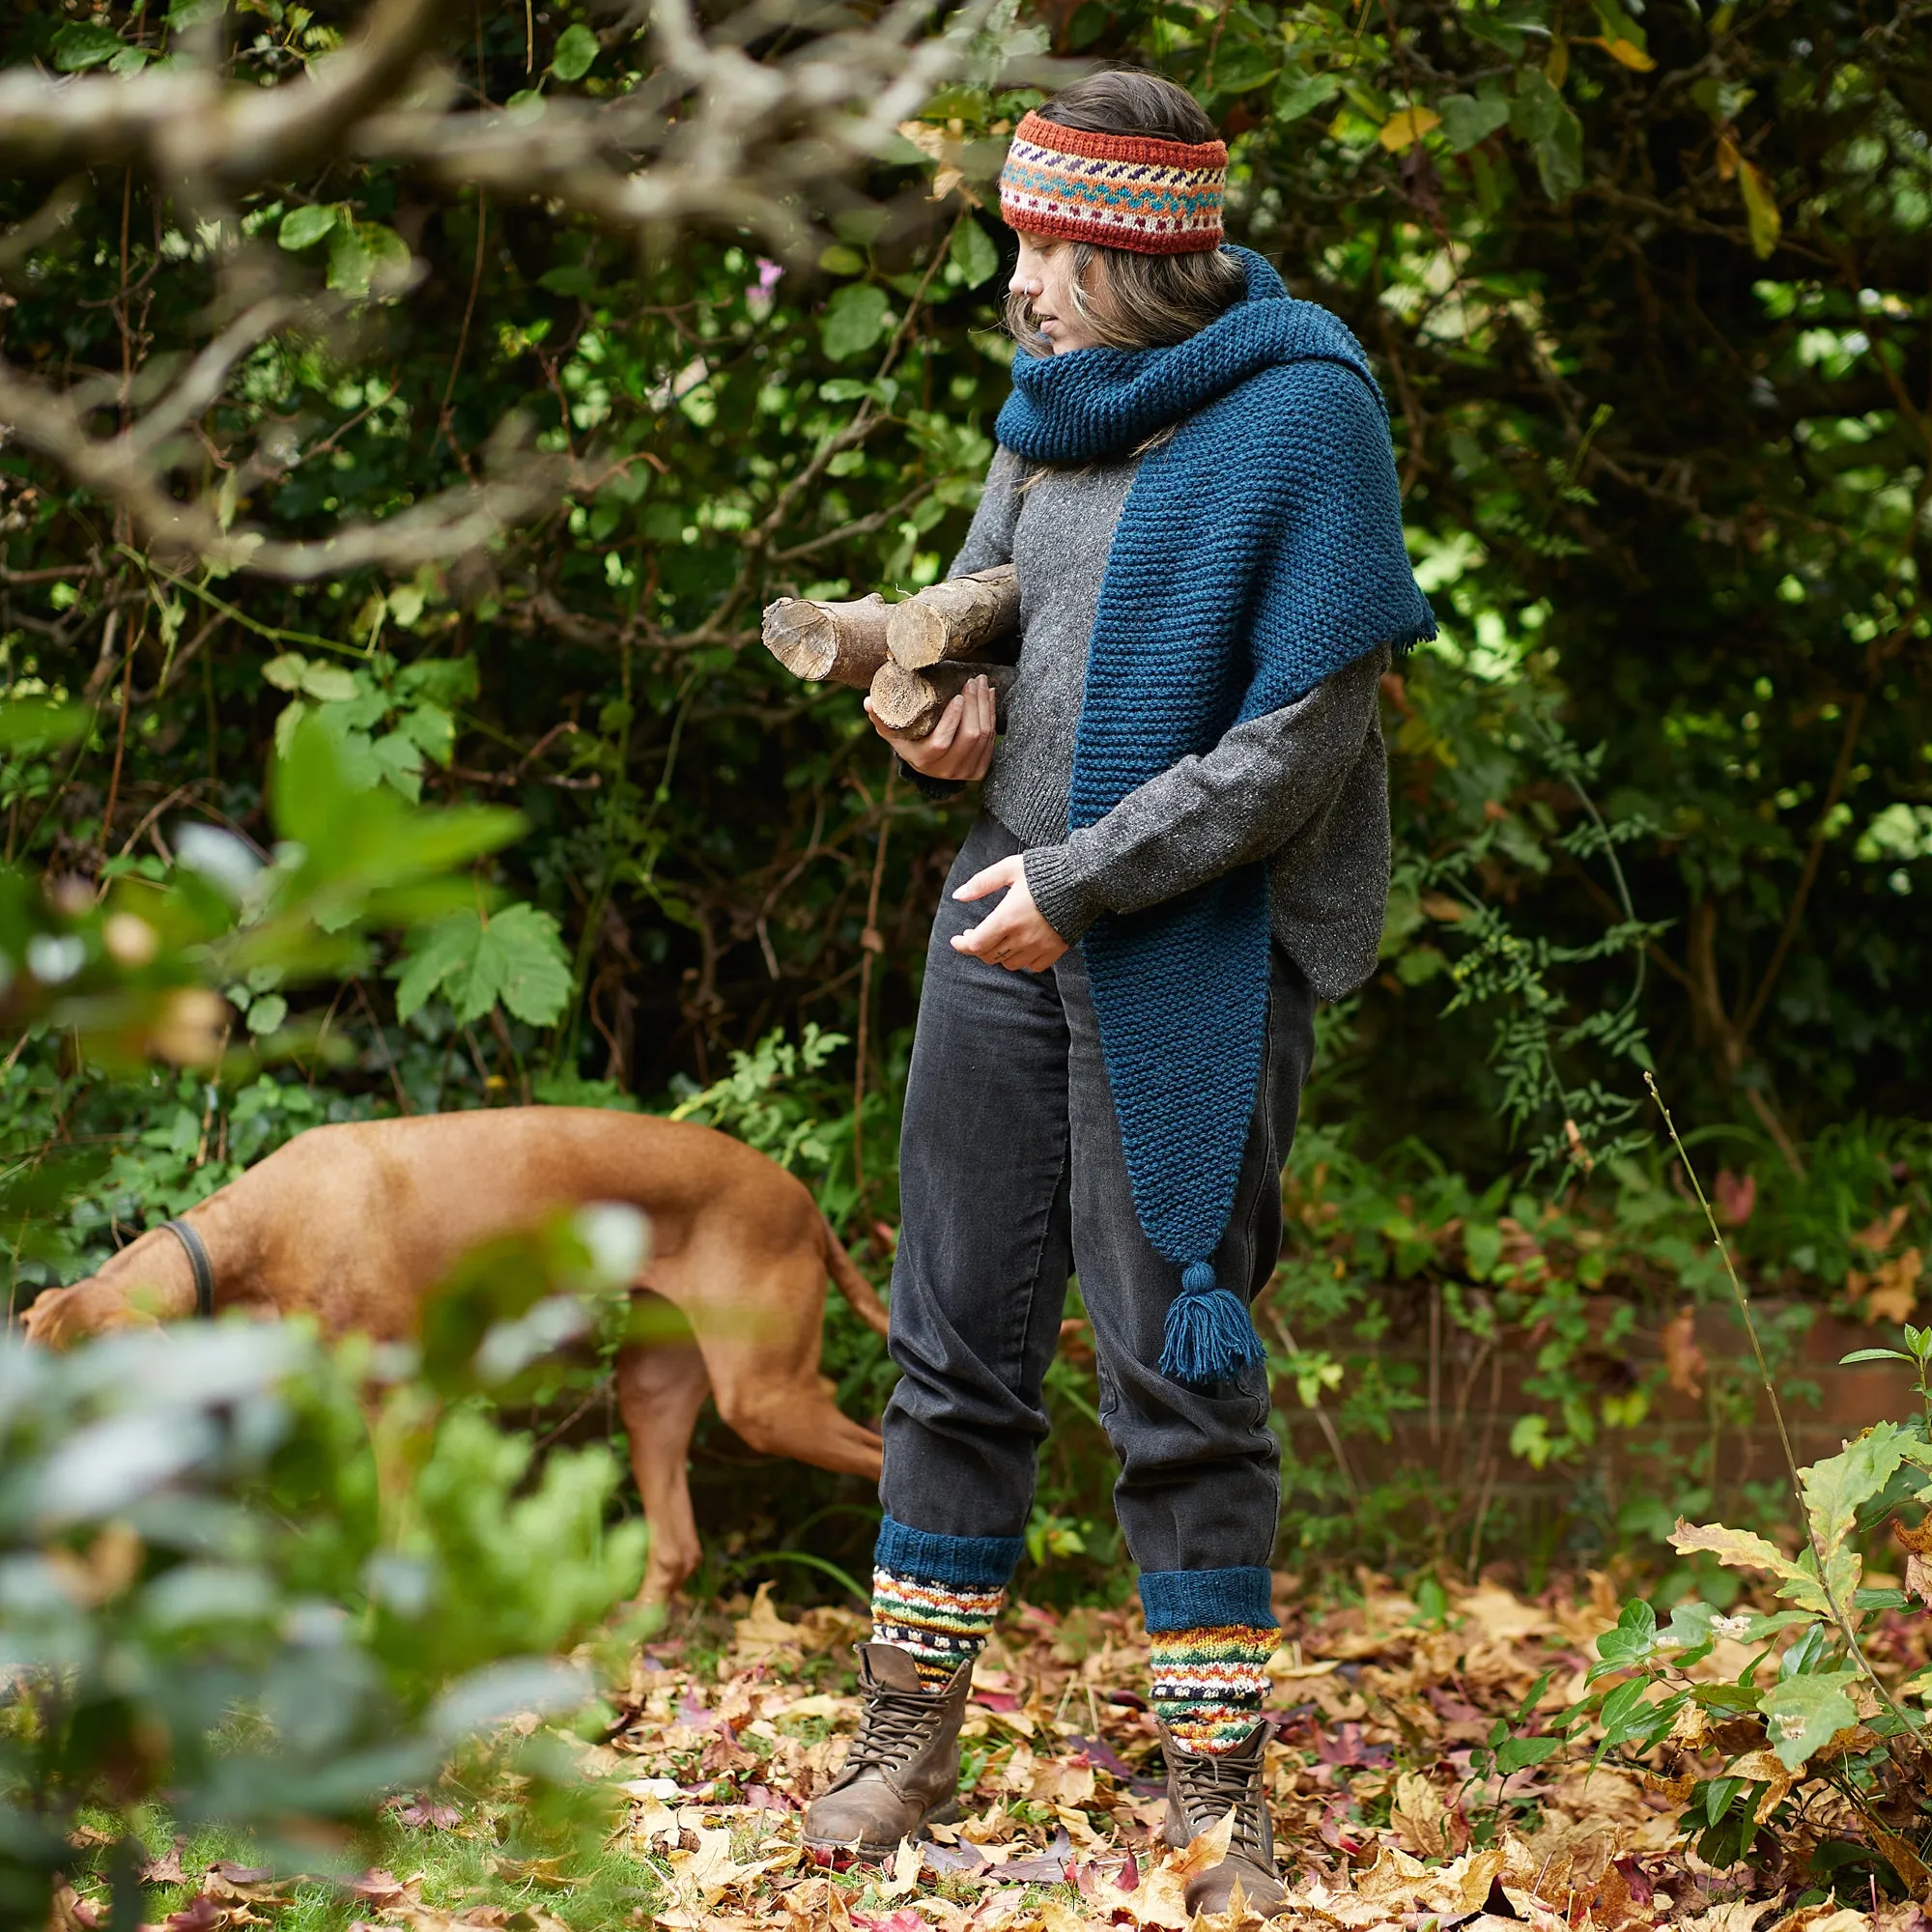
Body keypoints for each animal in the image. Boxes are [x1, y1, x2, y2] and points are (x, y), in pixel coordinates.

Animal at [18, 1113, 893, 1607]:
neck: (249, 1238)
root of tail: (806, 1202)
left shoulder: (403, 1411)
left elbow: (397, 1544)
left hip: (768, 1401)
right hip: (654, 1392)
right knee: (677, 1546)